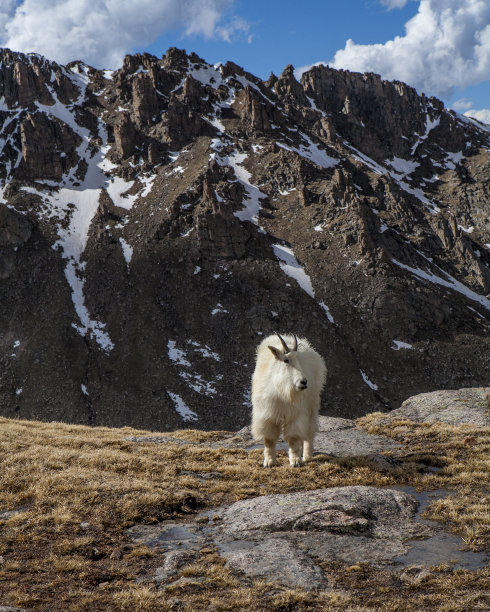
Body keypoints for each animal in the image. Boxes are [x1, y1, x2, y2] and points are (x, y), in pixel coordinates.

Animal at [253, 332, 326, 466]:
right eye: (286, 360)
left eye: (299, 360)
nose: (303, 382)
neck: (281, 391)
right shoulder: (268, 414)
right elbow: (269, 439)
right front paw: (269, 462)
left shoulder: (295, 414)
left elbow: (293, 438)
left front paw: (295, 461)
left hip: (312, 405)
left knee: (309, 431)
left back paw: (307, 456)